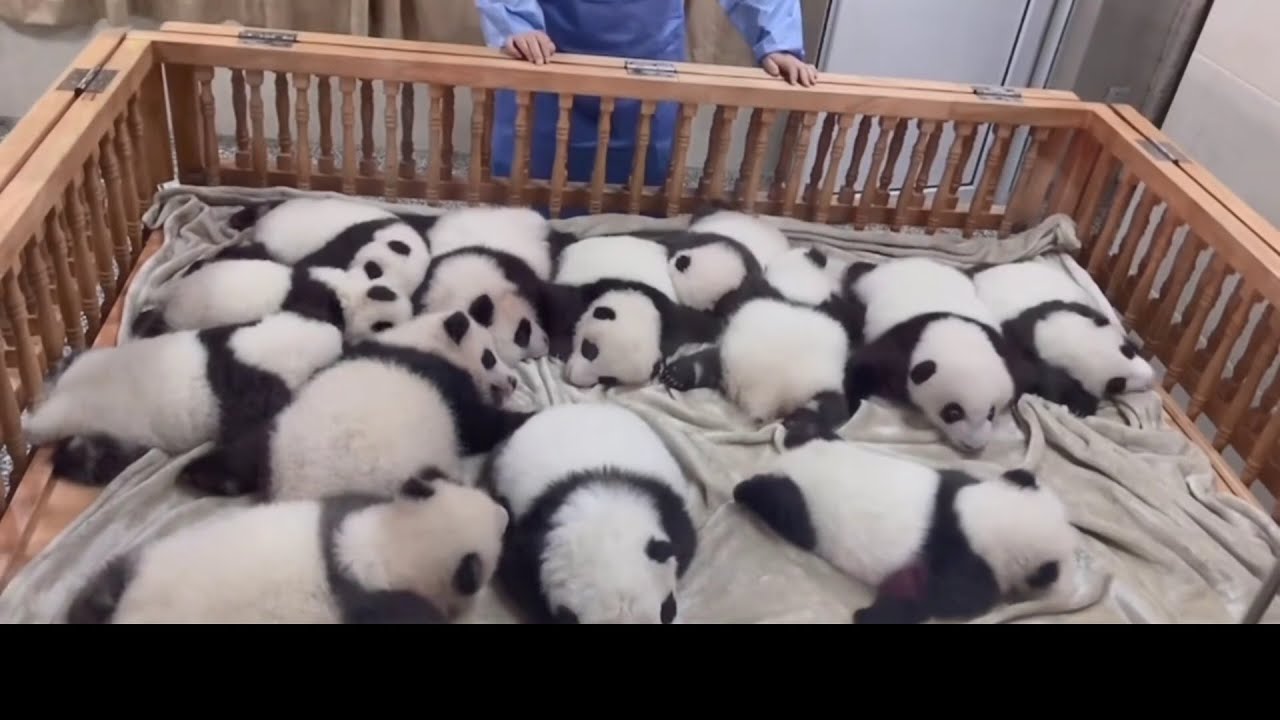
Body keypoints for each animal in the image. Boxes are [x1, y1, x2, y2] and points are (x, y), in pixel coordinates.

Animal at [65, 474, 509, 624]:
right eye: (499, 536)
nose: (505, 513)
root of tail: (129, 611)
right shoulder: (388, 606)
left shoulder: (340, 511)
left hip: (152, 557)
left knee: (104, 582)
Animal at [178, 310, 531, 503]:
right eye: (489, 357)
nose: (513, 381)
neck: (421, 339)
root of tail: (302, 495)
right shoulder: (442, 380)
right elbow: (477, 425)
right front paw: (524, 417)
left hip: (279, 436)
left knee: (248, 449)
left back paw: (206, 475)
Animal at [732, 439, 1077, 625]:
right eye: (1055, 571)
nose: (1063, 581)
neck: (985, 516)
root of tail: (786, 462)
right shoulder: (968, 563)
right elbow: (942, 599)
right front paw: (868, 615)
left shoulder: (959, 485)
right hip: (809, 516)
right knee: (785, 508)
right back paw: (746, 489)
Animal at [842, 257, 1024, 454]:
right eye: (953, 412)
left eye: (991, 412)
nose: (974, 445)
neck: (955, 336)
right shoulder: (904, 349)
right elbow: (862, 366)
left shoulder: (1000, 347)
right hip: (863, 289)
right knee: (854, 275)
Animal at [970, 258, 1156, 417]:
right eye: (1117, 383)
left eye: (1127, 351)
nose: (1150, 377)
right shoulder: (1025, 353)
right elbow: (1050, 385)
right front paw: (1082, 406)